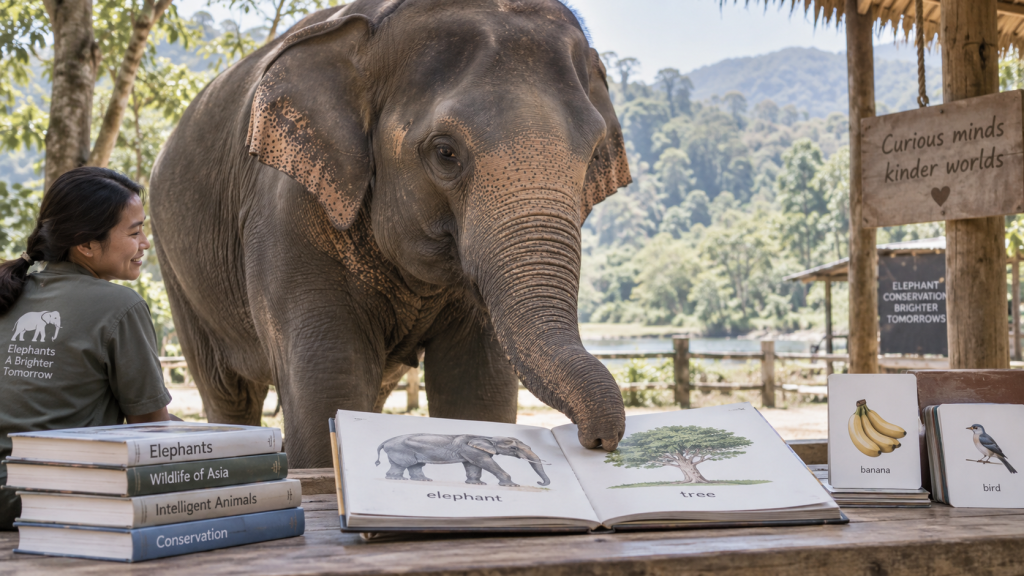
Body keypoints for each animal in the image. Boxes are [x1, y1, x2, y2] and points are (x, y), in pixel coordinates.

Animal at [149, 0, 632, 469]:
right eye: (445, 152)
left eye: (593, 155)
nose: (598, 441)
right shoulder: (287, 212)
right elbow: (328, 382)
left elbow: (478, 385)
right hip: (178, 273)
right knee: (228, 392)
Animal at [375, 434, 549, 487]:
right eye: (513, 448)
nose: (539, 483)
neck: (489, 437)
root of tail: (385, 441)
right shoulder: (471, 450)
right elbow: (485, 463)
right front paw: (513, 486)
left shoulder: (471, 452)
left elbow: (473, 466)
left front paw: (477, 484)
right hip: (401, 451)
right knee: (403, 464)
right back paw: (397, 479)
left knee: (416, 465)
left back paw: (424, 480)